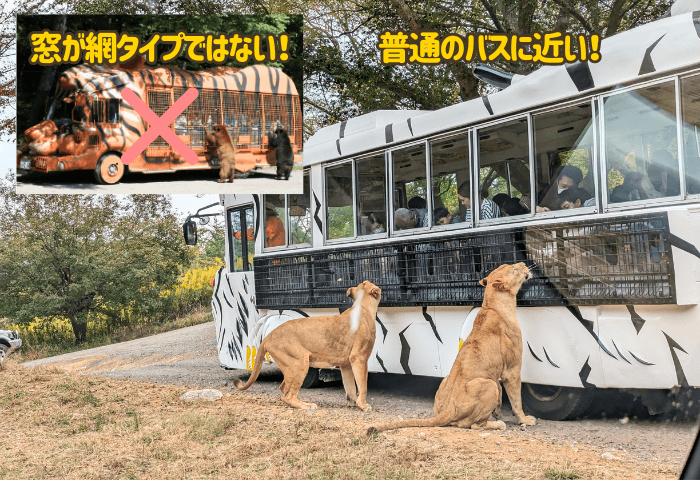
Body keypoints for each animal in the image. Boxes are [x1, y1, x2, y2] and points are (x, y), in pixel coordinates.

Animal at [232, 280, 380, 410]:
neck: (363, 305)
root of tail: (268, 336)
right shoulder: (359, 357)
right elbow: (363, 384)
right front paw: (363, 405)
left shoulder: (346, 363)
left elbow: (350, 386)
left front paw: (353, 403)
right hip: (300, 361)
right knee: (288, 395)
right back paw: (307, 405)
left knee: (283, 388)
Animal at [366, 262, 536, 436]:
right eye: (514, 269)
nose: (523, 263)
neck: (491, 304)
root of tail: (448, 410)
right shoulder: (512, 369)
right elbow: (516, 400)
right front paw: (524, 419)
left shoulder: (498, 373)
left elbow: (502, 394)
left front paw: (498, 412)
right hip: (488, 385)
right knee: (475, 425)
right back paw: (498, 424)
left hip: (451, 380)